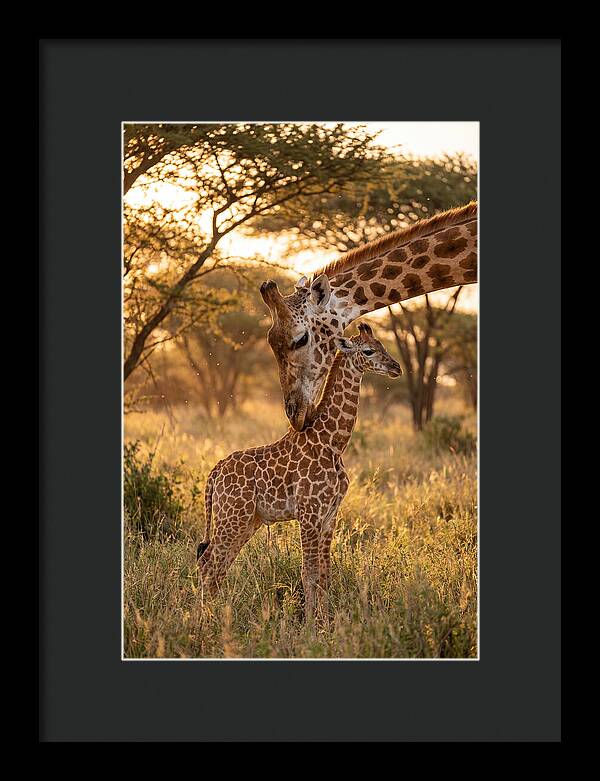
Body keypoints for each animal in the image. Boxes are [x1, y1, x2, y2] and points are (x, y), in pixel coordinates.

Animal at [197, 323, 402, 622]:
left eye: (382, 346)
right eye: (368, 351)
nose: (396, 367)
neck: (333, 442)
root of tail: (215, 472)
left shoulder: (329, 515)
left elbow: (325, 574)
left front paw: (326, 622)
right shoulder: (309, 512)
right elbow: (309, 573)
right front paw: (310, 625)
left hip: (247, 520)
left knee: (217, 564)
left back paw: (215, 616)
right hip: (232, 516)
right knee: (209, 563)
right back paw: (203, 621)